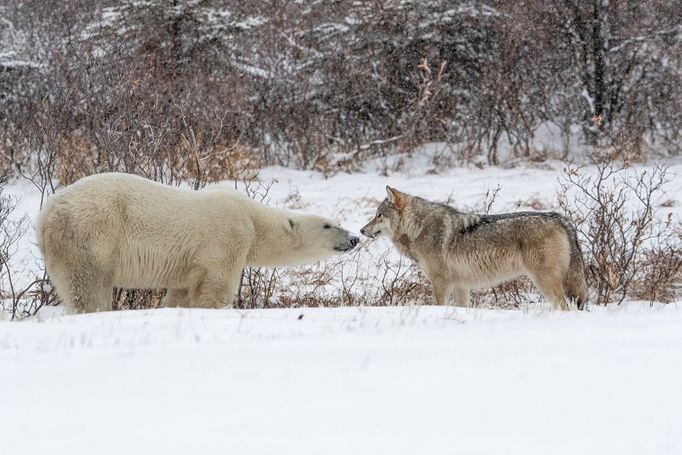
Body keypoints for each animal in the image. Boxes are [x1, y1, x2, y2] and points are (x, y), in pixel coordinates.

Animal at [35, 172, 362, 314]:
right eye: (328, 224)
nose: (354, 238)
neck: (252, 217)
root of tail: (46, 214)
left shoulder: (186, 265)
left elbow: (181, 292)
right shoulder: (226, 238)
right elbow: (216, 287)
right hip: (90, 234)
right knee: (88, 285)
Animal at [358, 187, 588, 312]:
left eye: (378, 215)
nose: (361, 230)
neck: (419, 227)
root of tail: (560, 218)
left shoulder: (440, 282)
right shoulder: (462, 285)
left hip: (544, 282)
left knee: (564, 306)